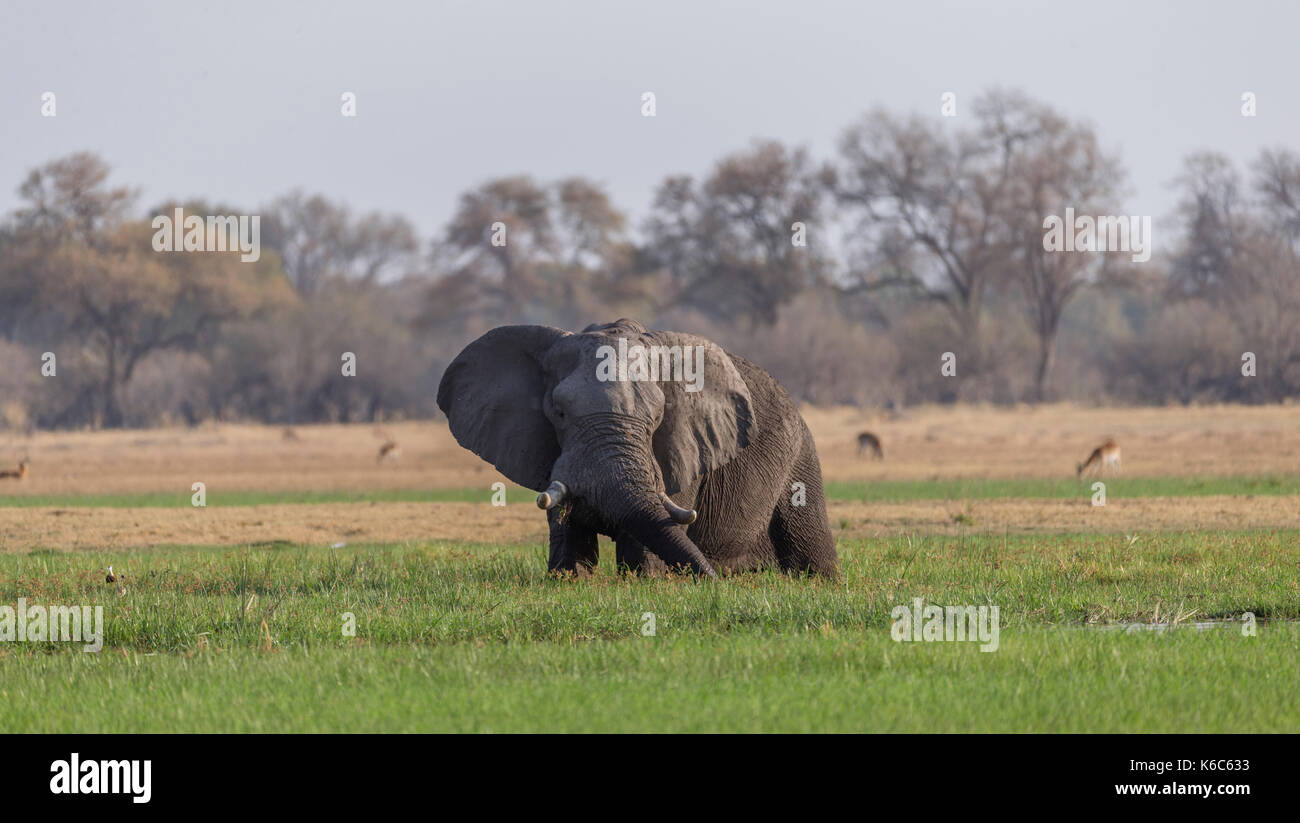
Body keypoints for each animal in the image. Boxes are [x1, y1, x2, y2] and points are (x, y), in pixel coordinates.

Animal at [436, 315, 842, 577]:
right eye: (560, 412)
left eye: (657, 417)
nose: (711, 581)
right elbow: (567, 532)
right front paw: (568, 579)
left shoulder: (682, 446)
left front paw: (646, 582)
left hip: (800, 456)